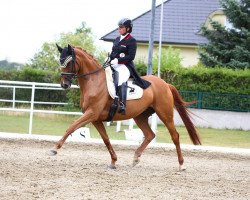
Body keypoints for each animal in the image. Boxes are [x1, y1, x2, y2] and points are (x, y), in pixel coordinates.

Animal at [50, 44, 201, 171]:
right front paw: (113, 161)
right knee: (149, 135)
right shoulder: (96, 119)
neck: (94, 82)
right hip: (140, 116)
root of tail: (165, 84)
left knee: (174, 136)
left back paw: (181, 165)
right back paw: (135, 158)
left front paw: (55, 148)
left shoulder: (92, 113)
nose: (64, 84)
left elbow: (72, 126)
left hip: (165, 114)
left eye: (69, 62)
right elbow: (106, 139)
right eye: (61, 62)